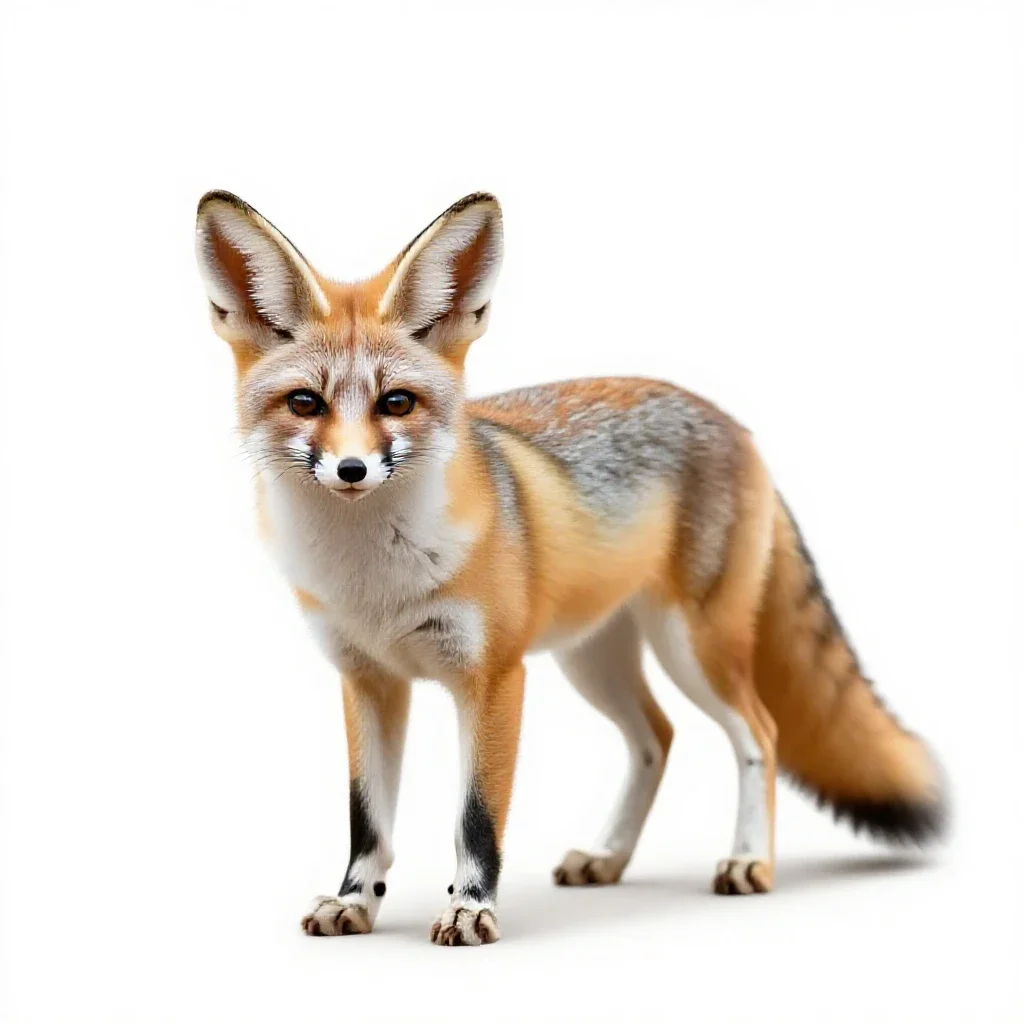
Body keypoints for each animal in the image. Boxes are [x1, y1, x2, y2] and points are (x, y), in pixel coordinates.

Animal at [195, 190, 947, 946]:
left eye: (396, 403)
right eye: (305, 403)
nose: (351, 469)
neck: (375, 581)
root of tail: (734, 423)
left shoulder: (495, 678)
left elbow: (476, 818)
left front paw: (471, 908)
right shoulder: (368, 682)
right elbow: (367, 820)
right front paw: (355, 901)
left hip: (694, 649)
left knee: (759, 733)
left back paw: (747, 861)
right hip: (593, 660)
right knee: (657, 738)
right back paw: (608, 855)